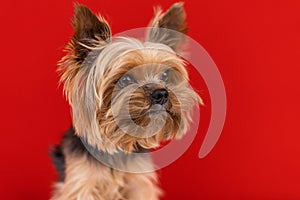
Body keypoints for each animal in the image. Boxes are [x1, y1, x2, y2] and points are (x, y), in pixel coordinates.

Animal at [51, 2, 202, 199]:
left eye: (165, 75)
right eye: (125, 79)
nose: (161, 93)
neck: (118, 146)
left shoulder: (138, 185)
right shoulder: (81, 183)